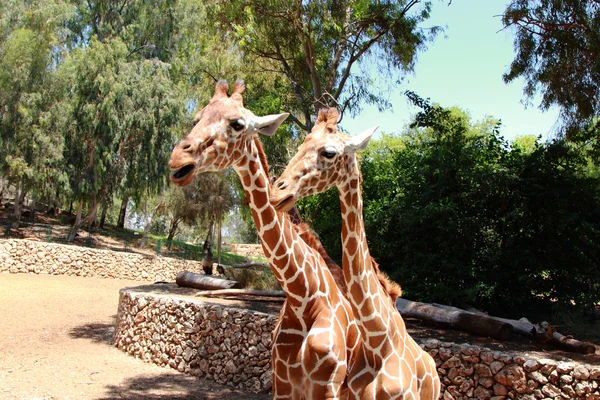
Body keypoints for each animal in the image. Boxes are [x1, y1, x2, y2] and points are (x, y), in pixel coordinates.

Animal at [170, 79, 366, 398]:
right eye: (197, 118)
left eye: (237, 124)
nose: (178, 158)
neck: (303, 294)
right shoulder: (282, 381)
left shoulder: (329, 386)